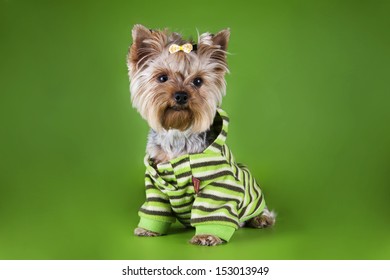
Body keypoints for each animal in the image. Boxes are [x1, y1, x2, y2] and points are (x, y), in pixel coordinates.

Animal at [126, 25, 276, 246]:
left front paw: (207, 236)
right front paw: (147, 230)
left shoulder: (219, 184)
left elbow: (214, 208)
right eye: (162, 78)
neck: (178, 135)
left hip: (249, 186)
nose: (181, 95)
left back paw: (261, 218)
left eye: (198, 81)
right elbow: (156, 207)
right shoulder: (155, 182)